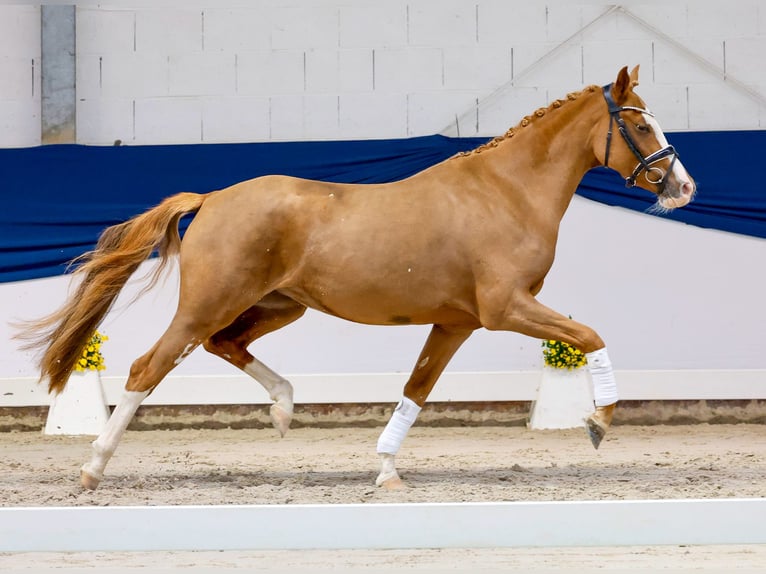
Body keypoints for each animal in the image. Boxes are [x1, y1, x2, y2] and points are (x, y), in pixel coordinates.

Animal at [17, 66, 695, 491]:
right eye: (640, 124)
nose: (684, 187)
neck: (505, 192)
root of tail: (210, 198)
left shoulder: (457, 322)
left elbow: (417, 389)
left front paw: (387, 470)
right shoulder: (506, 308)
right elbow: (591, 336)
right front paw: (598, 423)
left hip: (278, 305)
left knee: (224, 344)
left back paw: (284, 410)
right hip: (210, 302)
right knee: (147, 367)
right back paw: (94, 468)